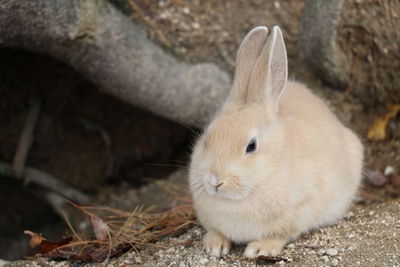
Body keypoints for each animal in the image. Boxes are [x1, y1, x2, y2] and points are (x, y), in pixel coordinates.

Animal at [188, 26, 362, 258]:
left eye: (251, 146)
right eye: (207, 138)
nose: (215, 181)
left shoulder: (301, 209)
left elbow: (280, 235)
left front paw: (260, 249)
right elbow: (216, 230)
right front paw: (215, 245)